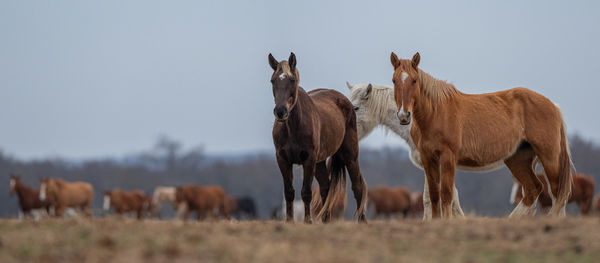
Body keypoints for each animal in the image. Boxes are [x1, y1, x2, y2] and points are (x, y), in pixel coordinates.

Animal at [268, 52, 370, 224]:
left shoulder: (309, 160)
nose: (281, 111)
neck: (293, 127)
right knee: (326, 188)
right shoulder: (282, 160)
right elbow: (289, 192)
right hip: (320, 162)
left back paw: (362, 221)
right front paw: (289, 221)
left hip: (350, 156)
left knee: (357, 187)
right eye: (273, 80)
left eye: (292, 80)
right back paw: (326, 221)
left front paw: (308, 221)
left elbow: (306, 192)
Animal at [392, 51, 576, 219]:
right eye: (394, 80)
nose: (404, 115)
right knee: (533, 189)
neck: (435, 113)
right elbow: (434, 195)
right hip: (518, 159)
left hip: (549, 157)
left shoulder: (448, 157)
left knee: (557, 193)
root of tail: (553, 106)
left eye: (414, 80)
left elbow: (446, 194)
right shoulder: (428, 159)